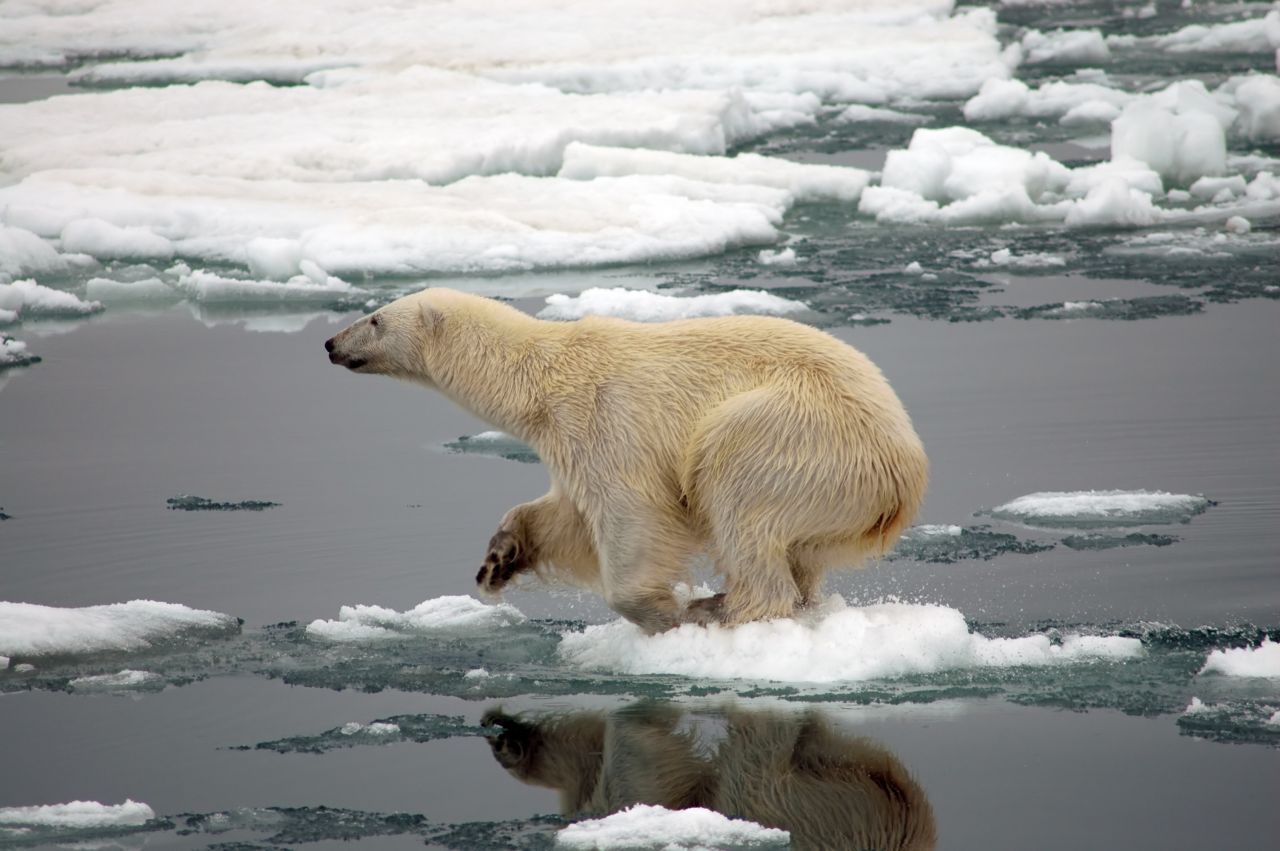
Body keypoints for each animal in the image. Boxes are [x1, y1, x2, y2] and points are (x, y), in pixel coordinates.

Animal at [325, 289, 926, 627]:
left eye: (375, 318)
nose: (331, 343)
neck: (543, 376)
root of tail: (905, 474)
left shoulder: (606, 420)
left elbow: (631, 515)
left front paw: (663, 612)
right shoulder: (566, 439)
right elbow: (565, 517)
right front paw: (498, 559)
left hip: (800, 434)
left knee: (736, 490)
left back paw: (724, 607)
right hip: (839, 499)